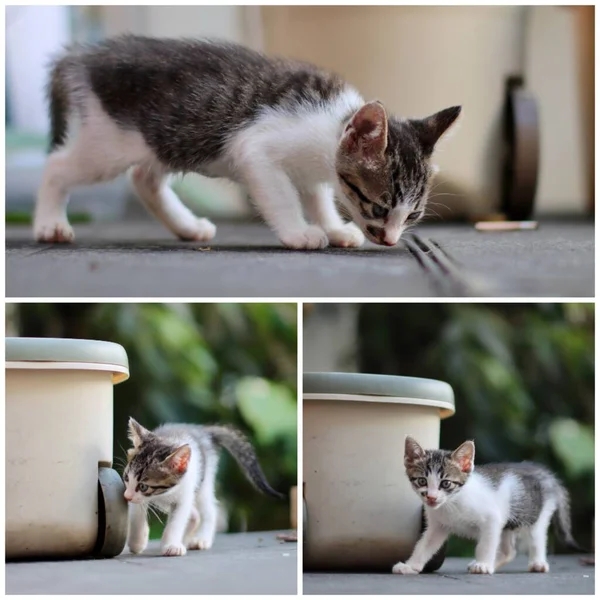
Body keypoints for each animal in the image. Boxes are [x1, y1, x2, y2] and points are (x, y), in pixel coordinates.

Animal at [35, 34, 462, 250]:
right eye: (377, 207)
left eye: (413, 216)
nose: (390, 240)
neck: (333, 125)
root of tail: (83, 56)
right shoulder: (256, 149)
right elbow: (283, 196)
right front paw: (301, 233)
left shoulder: (314, 170)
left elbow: (317, 196)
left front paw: (334, 226)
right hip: (110, 140)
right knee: (57, 166)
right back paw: (51, 224)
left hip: (166, 138)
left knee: (144, 178)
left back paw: (187, 227)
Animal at [122, 420, 284, 556]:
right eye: (126, 478)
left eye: (143, 486)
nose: (126, 496)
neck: (163, 493)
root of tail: (203, 431)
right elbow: (136, 515)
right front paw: (137, 542)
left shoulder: (184, 494)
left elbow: (177, 521)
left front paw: (171, 545)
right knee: (194, 514)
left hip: (203, 483)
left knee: (209, 510)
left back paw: (202, 538)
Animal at [392, 436, 580, 576]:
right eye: (422, 481)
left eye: (446, 483)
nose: (431, 497)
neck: (452, 502)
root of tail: (542, 473)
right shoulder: (438, 526)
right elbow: (424, 546)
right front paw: (410, 565)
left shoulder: (492, 519)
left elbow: (486, 544)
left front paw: (483, 564)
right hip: (508, 524)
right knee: (509, 551)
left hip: (535, 514)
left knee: (537, 537)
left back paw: (538, 562)